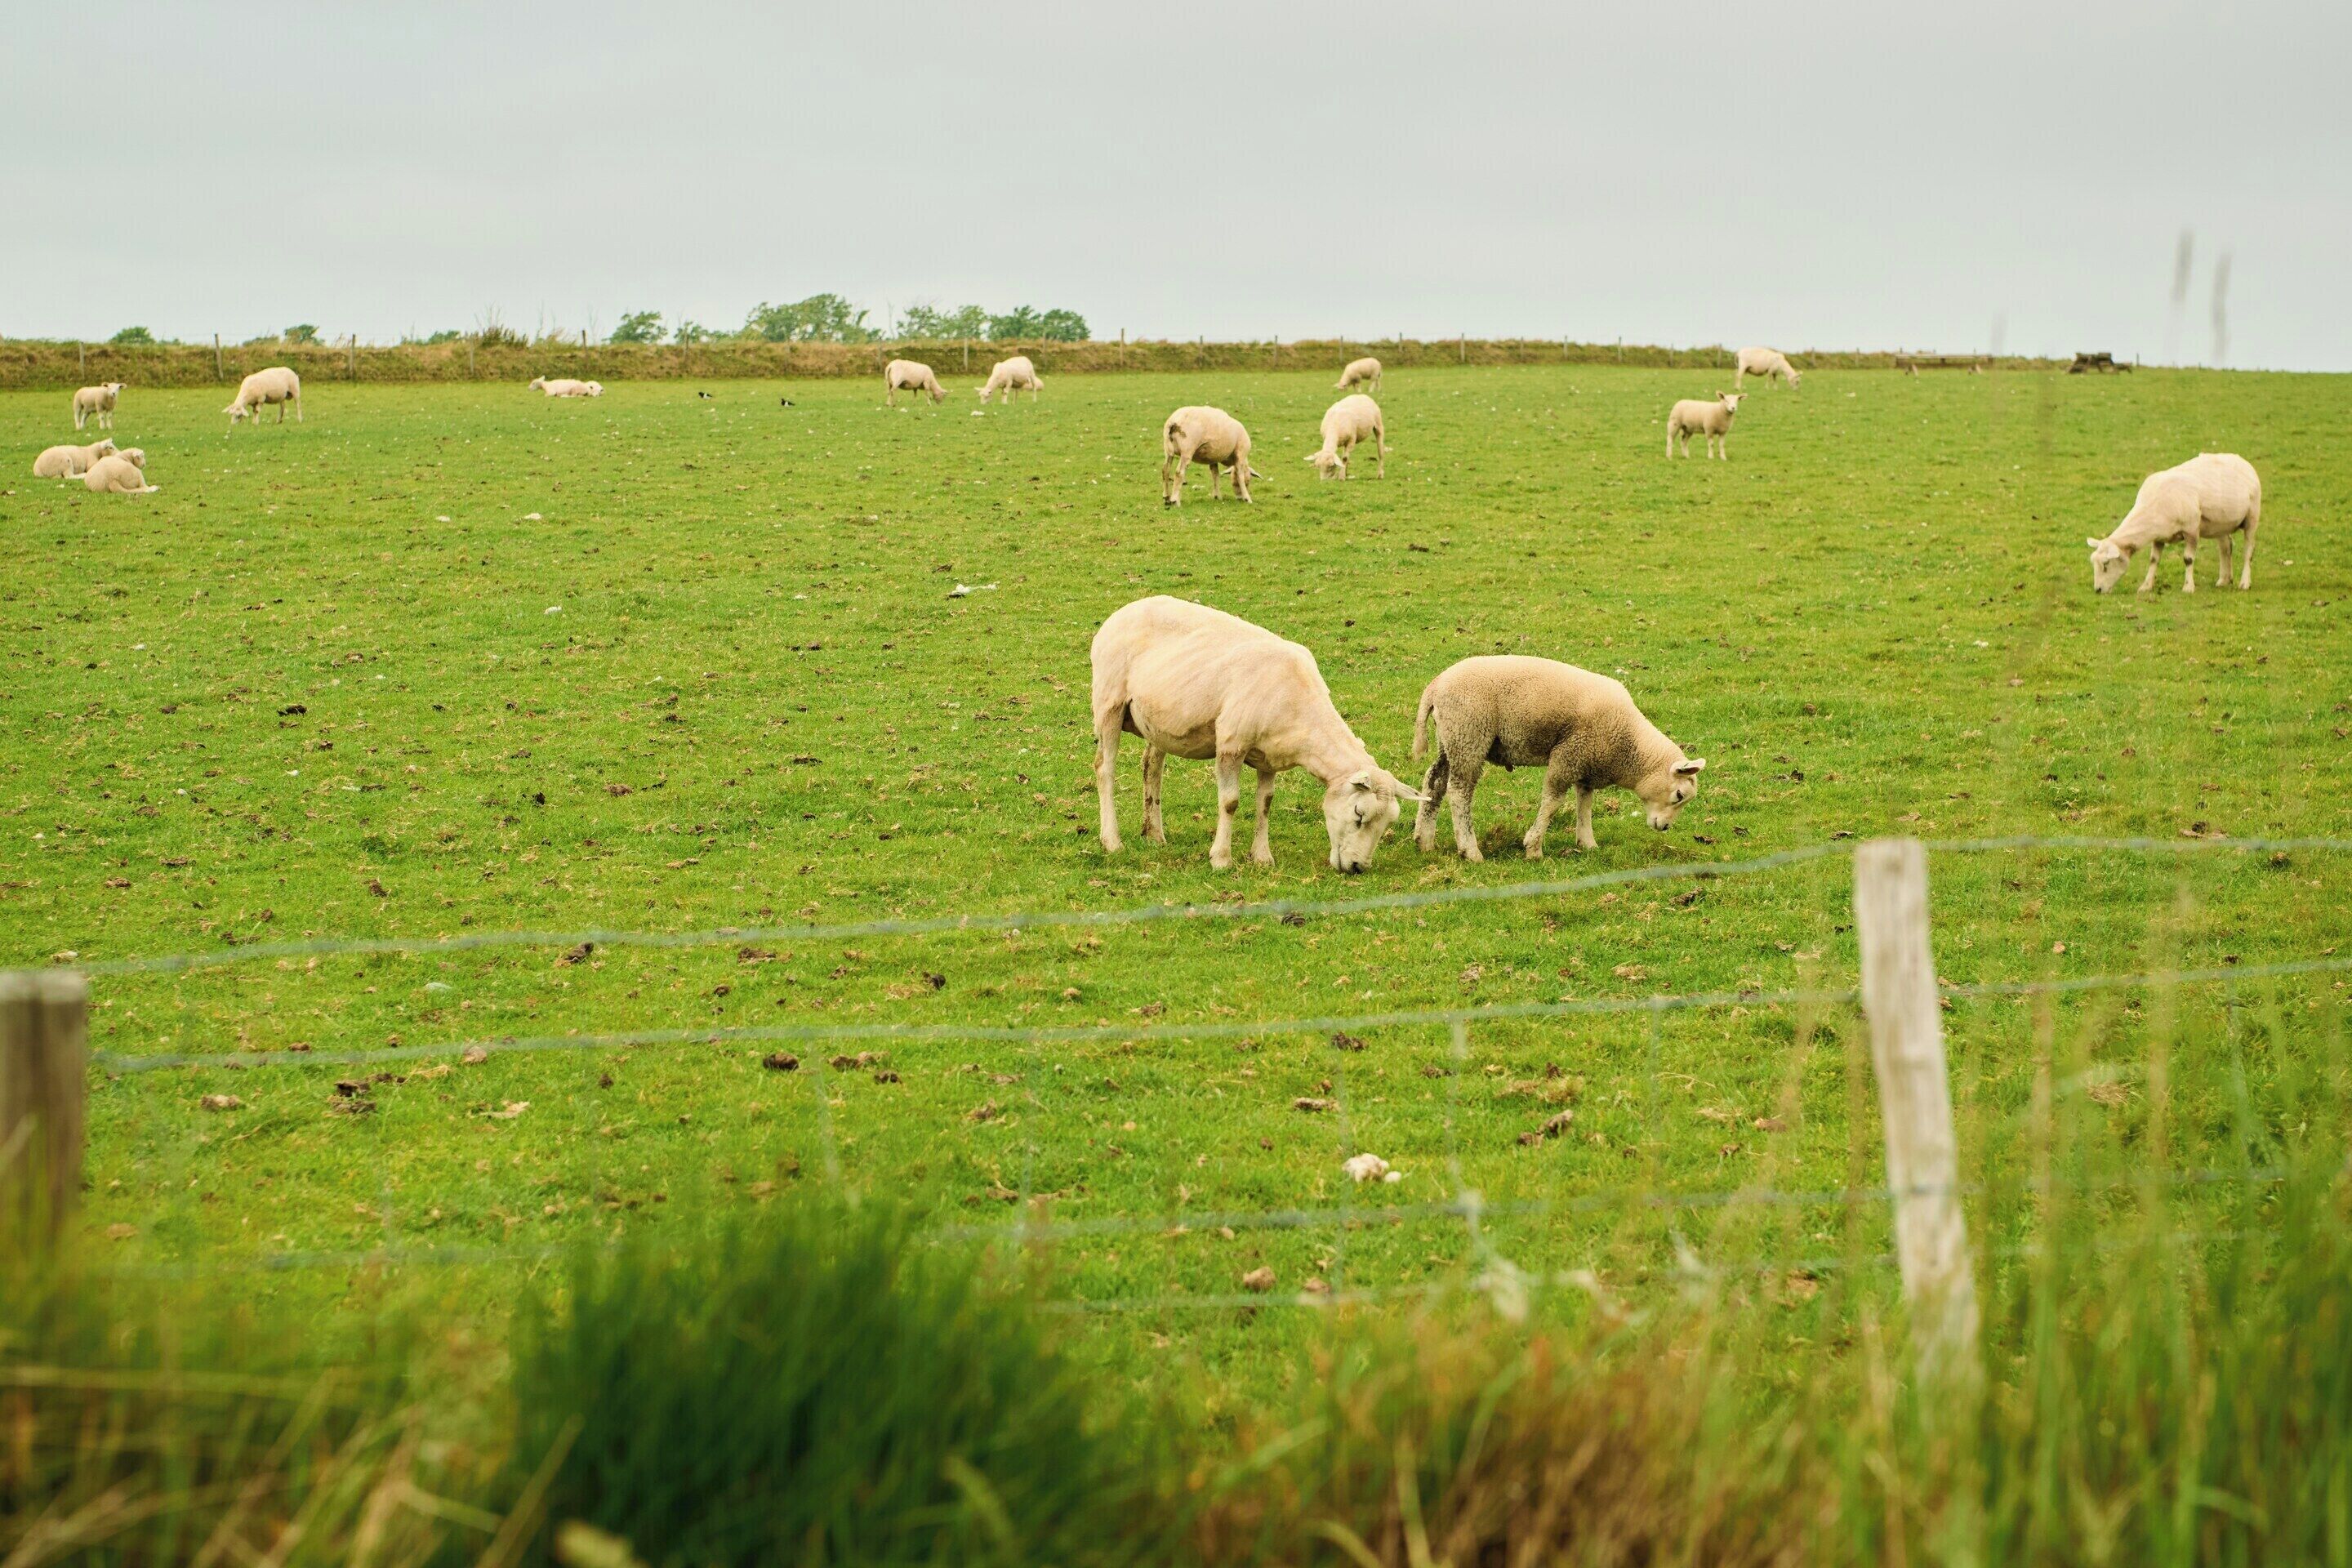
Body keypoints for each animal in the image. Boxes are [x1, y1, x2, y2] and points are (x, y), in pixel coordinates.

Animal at [1091, 595, 1421, 872]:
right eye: (1359, 814)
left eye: (1387, 823)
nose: (1357, 868)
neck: (1302, 713)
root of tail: (1123, 611)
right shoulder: (1231, 744)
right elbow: (1230, 802)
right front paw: (1221, 859)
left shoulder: (1269, 756)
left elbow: (1265, 803)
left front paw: (1262, 857)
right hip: (1109, 703)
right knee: (1104, 768)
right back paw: (1112, 841)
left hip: (1158, 721)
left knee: (1152, 767)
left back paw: (1155, 835)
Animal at [1412, 656, 1705, 861]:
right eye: (1679, 795)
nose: (1664, 827)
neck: (1629, 746)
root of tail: (1435, 686)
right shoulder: (1568, 754)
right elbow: (1553, 803)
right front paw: (1533, 848)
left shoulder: (1586, 763)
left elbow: (1584, 804)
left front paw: (1587, 843)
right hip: (1469, 735)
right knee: (1459, 792)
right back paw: (1470, 851)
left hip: (1450, 738)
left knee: (1435, 783)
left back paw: (1425, 841)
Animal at [2086, 453, 2262, 595]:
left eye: (2106, 564)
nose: (2098, 590)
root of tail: (2241, 460)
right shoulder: (2159, 536)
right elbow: (2154, 560)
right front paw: (2146, 586)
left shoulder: (2191, 530)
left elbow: (2188, 559)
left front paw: (2188, 587)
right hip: (2220, 524)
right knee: (2226, 548)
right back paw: (2224, 580)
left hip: (2252, 515)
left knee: (2248, 551)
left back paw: (2244, 583)